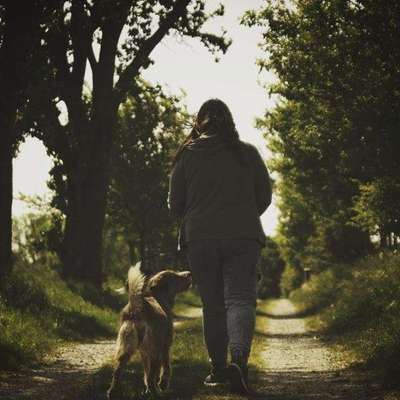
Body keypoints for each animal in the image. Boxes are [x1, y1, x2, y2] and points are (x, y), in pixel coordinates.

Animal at [108, 262, 192, 396]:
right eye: (174, 276)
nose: (189, 273)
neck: (157, 297)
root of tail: (135, 309)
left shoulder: (144, 353)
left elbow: (146, 374)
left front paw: (147, 388)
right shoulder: (165, 346)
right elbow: (165, 367)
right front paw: (163, 384)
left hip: (125, 347)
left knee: (117, 371)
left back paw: (113, 392)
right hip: (155, 350)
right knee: (153, 373)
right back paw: (155, 392)